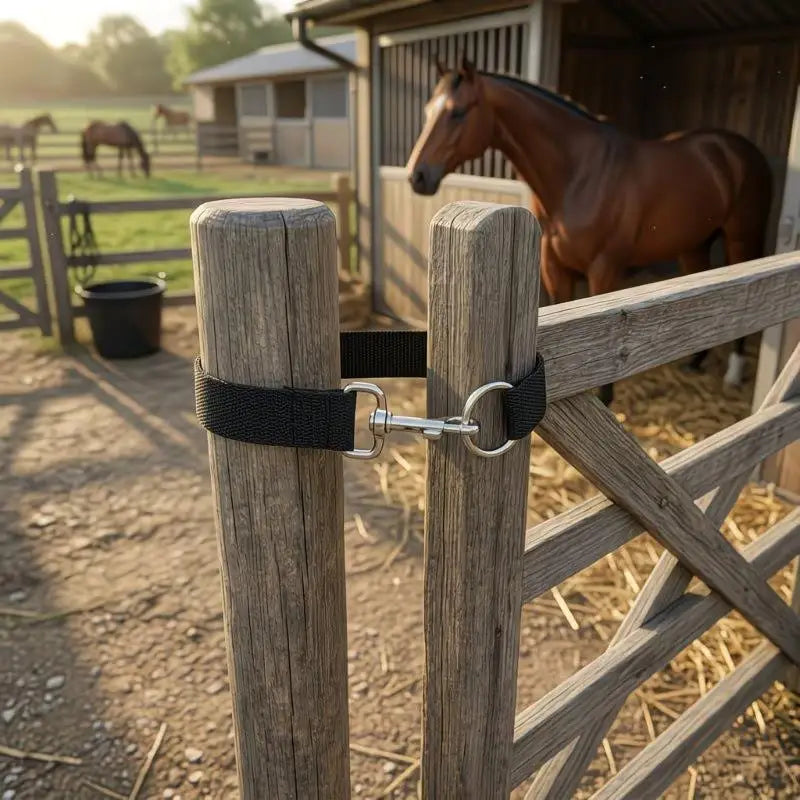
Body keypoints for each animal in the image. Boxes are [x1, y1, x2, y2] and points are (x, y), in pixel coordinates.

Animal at [407, 58, 773, 404]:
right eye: (426, 111)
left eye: (458, 112)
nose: (417, 176)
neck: (580, 174)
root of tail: (737, 149)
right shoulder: (555, 270)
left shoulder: (603, 271)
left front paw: (606, 398)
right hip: (692, 245)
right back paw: (696, 361)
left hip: (742, 238)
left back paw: (733, 373)